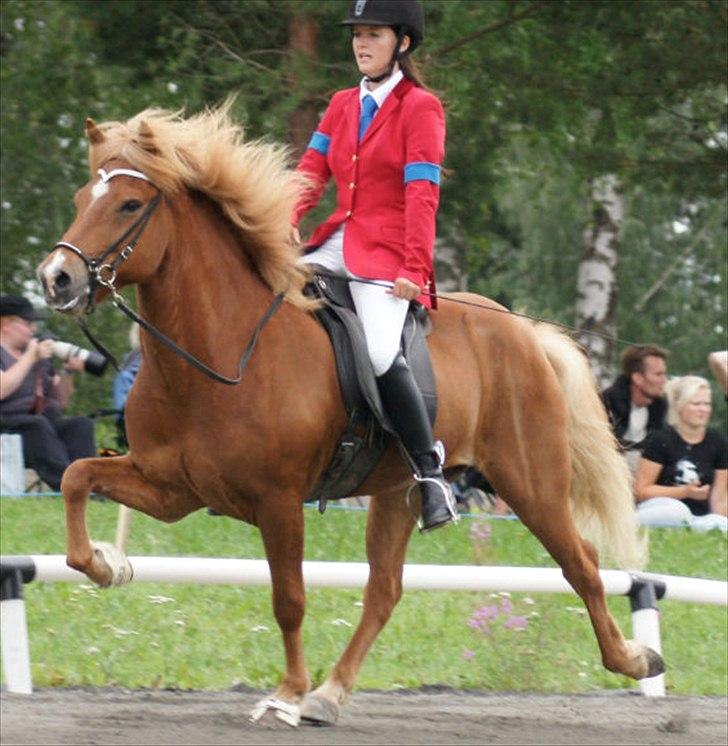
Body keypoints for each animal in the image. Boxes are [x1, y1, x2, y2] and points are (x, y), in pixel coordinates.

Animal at [37, 107, 664, 724]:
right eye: (79, 198)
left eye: (129, 204)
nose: (55, 278)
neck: (219, 351)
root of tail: (525, 330)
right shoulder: (173, 488)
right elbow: (75, 478)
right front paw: (105, 565)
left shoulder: (277, 501)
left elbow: (288, 599)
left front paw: (286, 693)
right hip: (398, 493)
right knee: (385, 589)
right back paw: (330, 694)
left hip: (529, 481)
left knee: (580, 562)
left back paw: (635, 660)